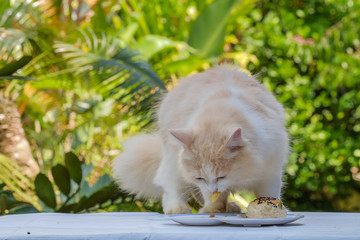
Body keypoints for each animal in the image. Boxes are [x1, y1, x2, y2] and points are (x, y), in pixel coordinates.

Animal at [114, 65, 288, 214]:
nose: (213, 190)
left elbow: (269, 194)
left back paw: (231, 207)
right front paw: (212, 211)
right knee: (171, 189)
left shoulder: (270, 172)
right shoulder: (202, 184)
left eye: (221, 176)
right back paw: (178, 209)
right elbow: (211, 198)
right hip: (173, 164)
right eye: (200, 178)